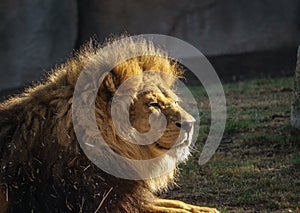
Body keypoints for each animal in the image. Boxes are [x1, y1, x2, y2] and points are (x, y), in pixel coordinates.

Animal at [0, 35, 218, 212]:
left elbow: (177, 204)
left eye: (174, 102)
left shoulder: (128, 195)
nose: (191, 123)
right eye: (154, 104)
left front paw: (206, 209)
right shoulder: (103, 202)